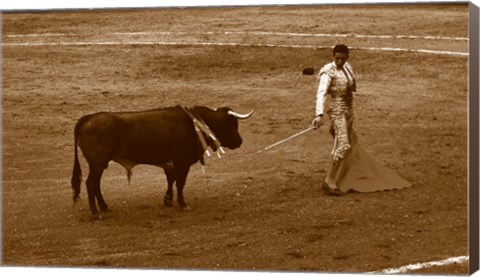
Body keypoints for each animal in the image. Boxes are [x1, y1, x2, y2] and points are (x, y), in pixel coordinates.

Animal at [70, 104, 255, 215]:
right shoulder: (182, 162)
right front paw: (182, 204)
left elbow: (171, 180)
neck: (195, 124)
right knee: (91, 183)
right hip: (97, 163)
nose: (240, 141)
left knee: (96, 184)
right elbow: (180, 183)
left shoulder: (170, 162)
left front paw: (168, 200)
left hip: (99, 164)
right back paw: (96, 212)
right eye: (232, 125)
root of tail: (87, 118)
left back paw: (104, 207)